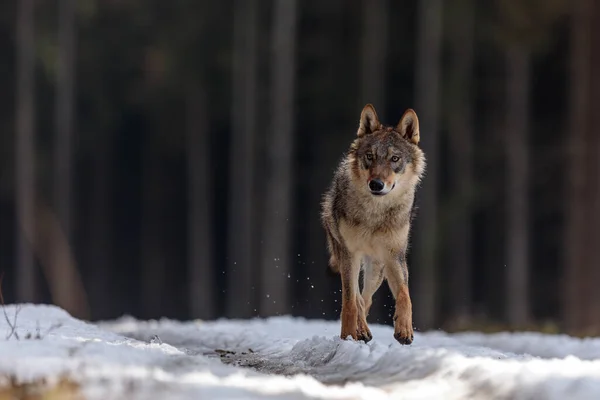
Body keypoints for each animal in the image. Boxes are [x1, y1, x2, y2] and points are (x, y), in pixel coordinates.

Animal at [322, 103, 424, 344]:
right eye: (370, 156)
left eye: (395, 159)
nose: (376, 184)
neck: (375, 213)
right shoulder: (349, 253)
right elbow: (350, 302)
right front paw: (348, 337)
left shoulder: (394, 255)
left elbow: (405, 295)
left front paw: (404, 329)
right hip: (349, 257)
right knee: (358, 298)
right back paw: (360, 332)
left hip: (377, 268)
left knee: (366, 298)